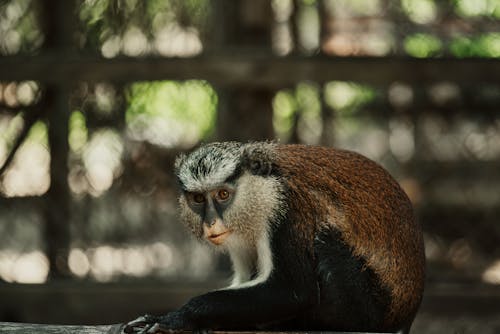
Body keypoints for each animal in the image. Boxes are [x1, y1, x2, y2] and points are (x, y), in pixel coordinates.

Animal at [123, 142, 424, 334]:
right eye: (198, 199)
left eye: (223, 194)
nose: (211, 224)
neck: (265, 187)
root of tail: (406, 315)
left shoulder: (288, 211)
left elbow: (291, 291)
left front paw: (180, 316)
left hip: (368, 306)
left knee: (325, 241)